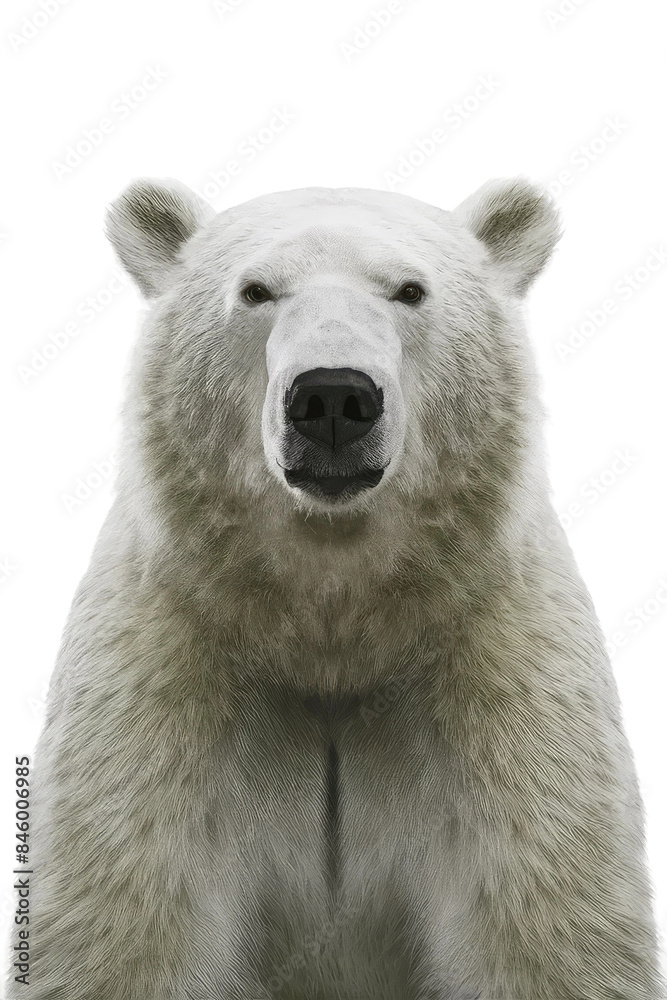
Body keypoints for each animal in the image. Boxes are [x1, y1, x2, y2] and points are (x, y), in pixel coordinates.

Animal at [9, 177, 663, 1000]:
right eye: (256, 290)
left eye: (410, 289)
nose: (331, 397)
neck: (335, 625)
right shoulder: (164, 668)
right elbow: (125, 919)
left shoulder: (499, 670)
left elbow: (542, 920)